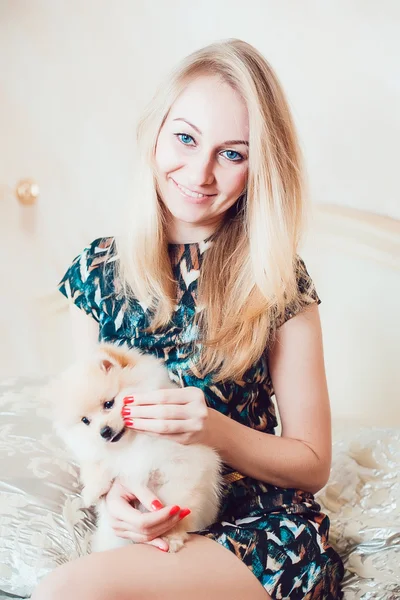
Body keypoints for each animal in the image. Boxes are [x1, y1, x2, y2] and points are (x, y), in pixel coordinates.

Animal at [50, 342, 222, 552]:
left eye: (109, 403)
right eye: (85, 420)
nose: (104, 431)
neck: (133, 443)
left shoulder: (183, 466)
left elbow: (177, 508)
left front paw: (171, 536)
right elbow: (95, 463)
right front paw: (92, 490)